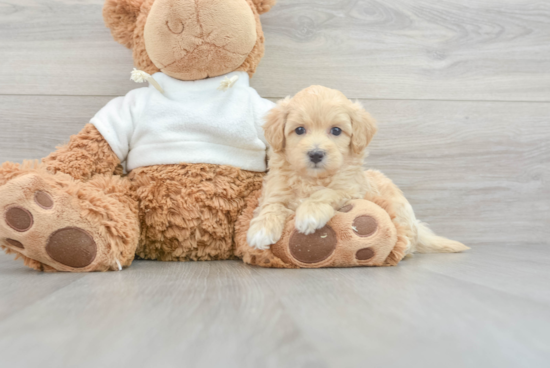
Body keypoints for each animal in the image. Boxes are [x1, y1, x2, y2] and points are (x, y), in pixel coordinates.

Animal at [250, 85, 470, 256]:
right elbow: (271, 206)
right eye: (299, 130)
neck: (313, 178)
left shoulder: (350, 189)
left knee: (409, 237)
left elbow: (326, 193)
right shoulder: (276, 190)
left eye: (336, 130)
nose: (316, 154)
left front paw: (310, 213)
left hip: (399, 207)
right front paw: (261, 229)